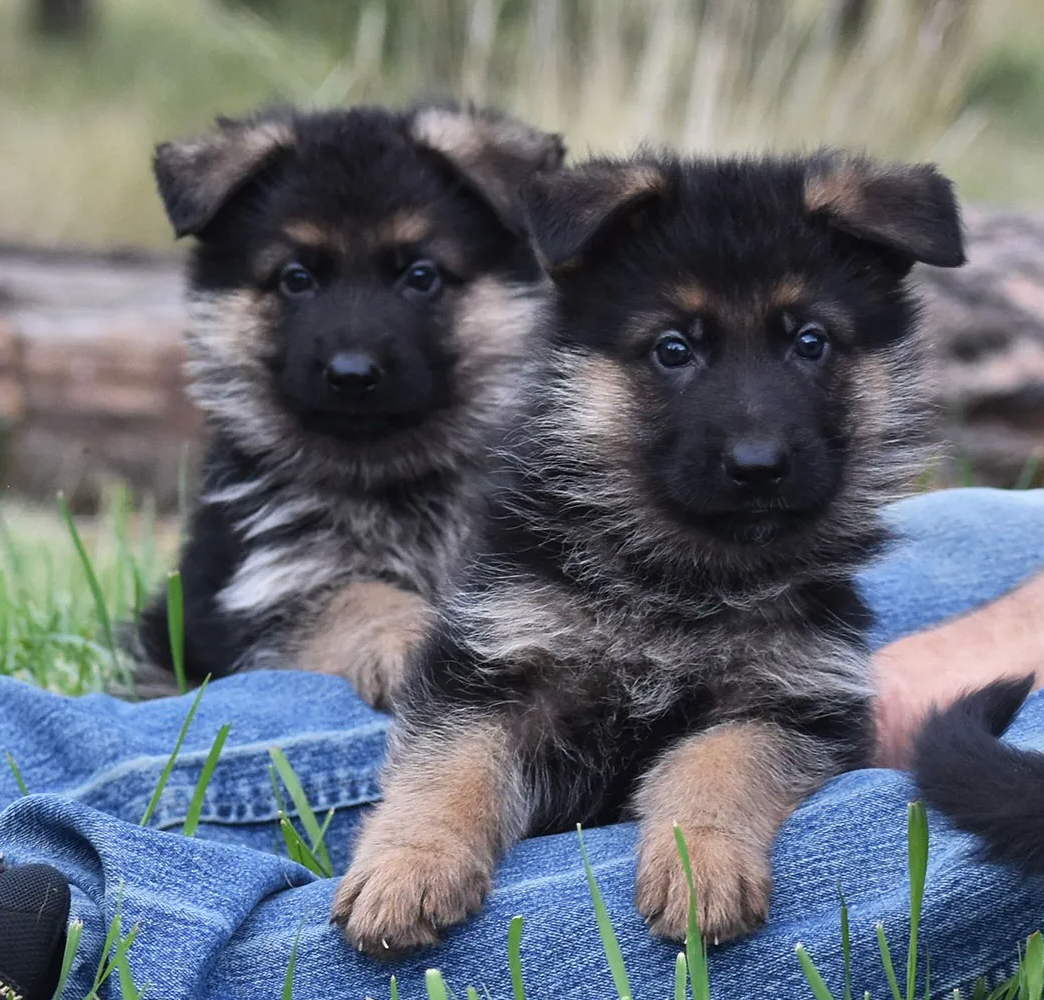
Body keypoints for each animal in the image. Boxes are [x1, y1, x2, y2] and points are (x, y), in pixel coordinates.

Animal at [134, 105, 567, 709]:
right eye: (296, 278)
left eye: (420, 275)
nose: (352, 374)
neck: (393, 482)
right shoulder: (273, 586)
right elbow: (356, 597)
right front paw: (404, 639)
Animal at [331, 148, 960, 956]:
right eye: (673, 349)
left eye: (810, 342)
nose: (757, 466)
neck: (680, 578)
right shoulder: (490, 670)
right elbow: (451, 769)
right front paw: (409, 865)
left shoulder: (784, 703)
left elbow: (718, 763)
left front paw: (703, 865)